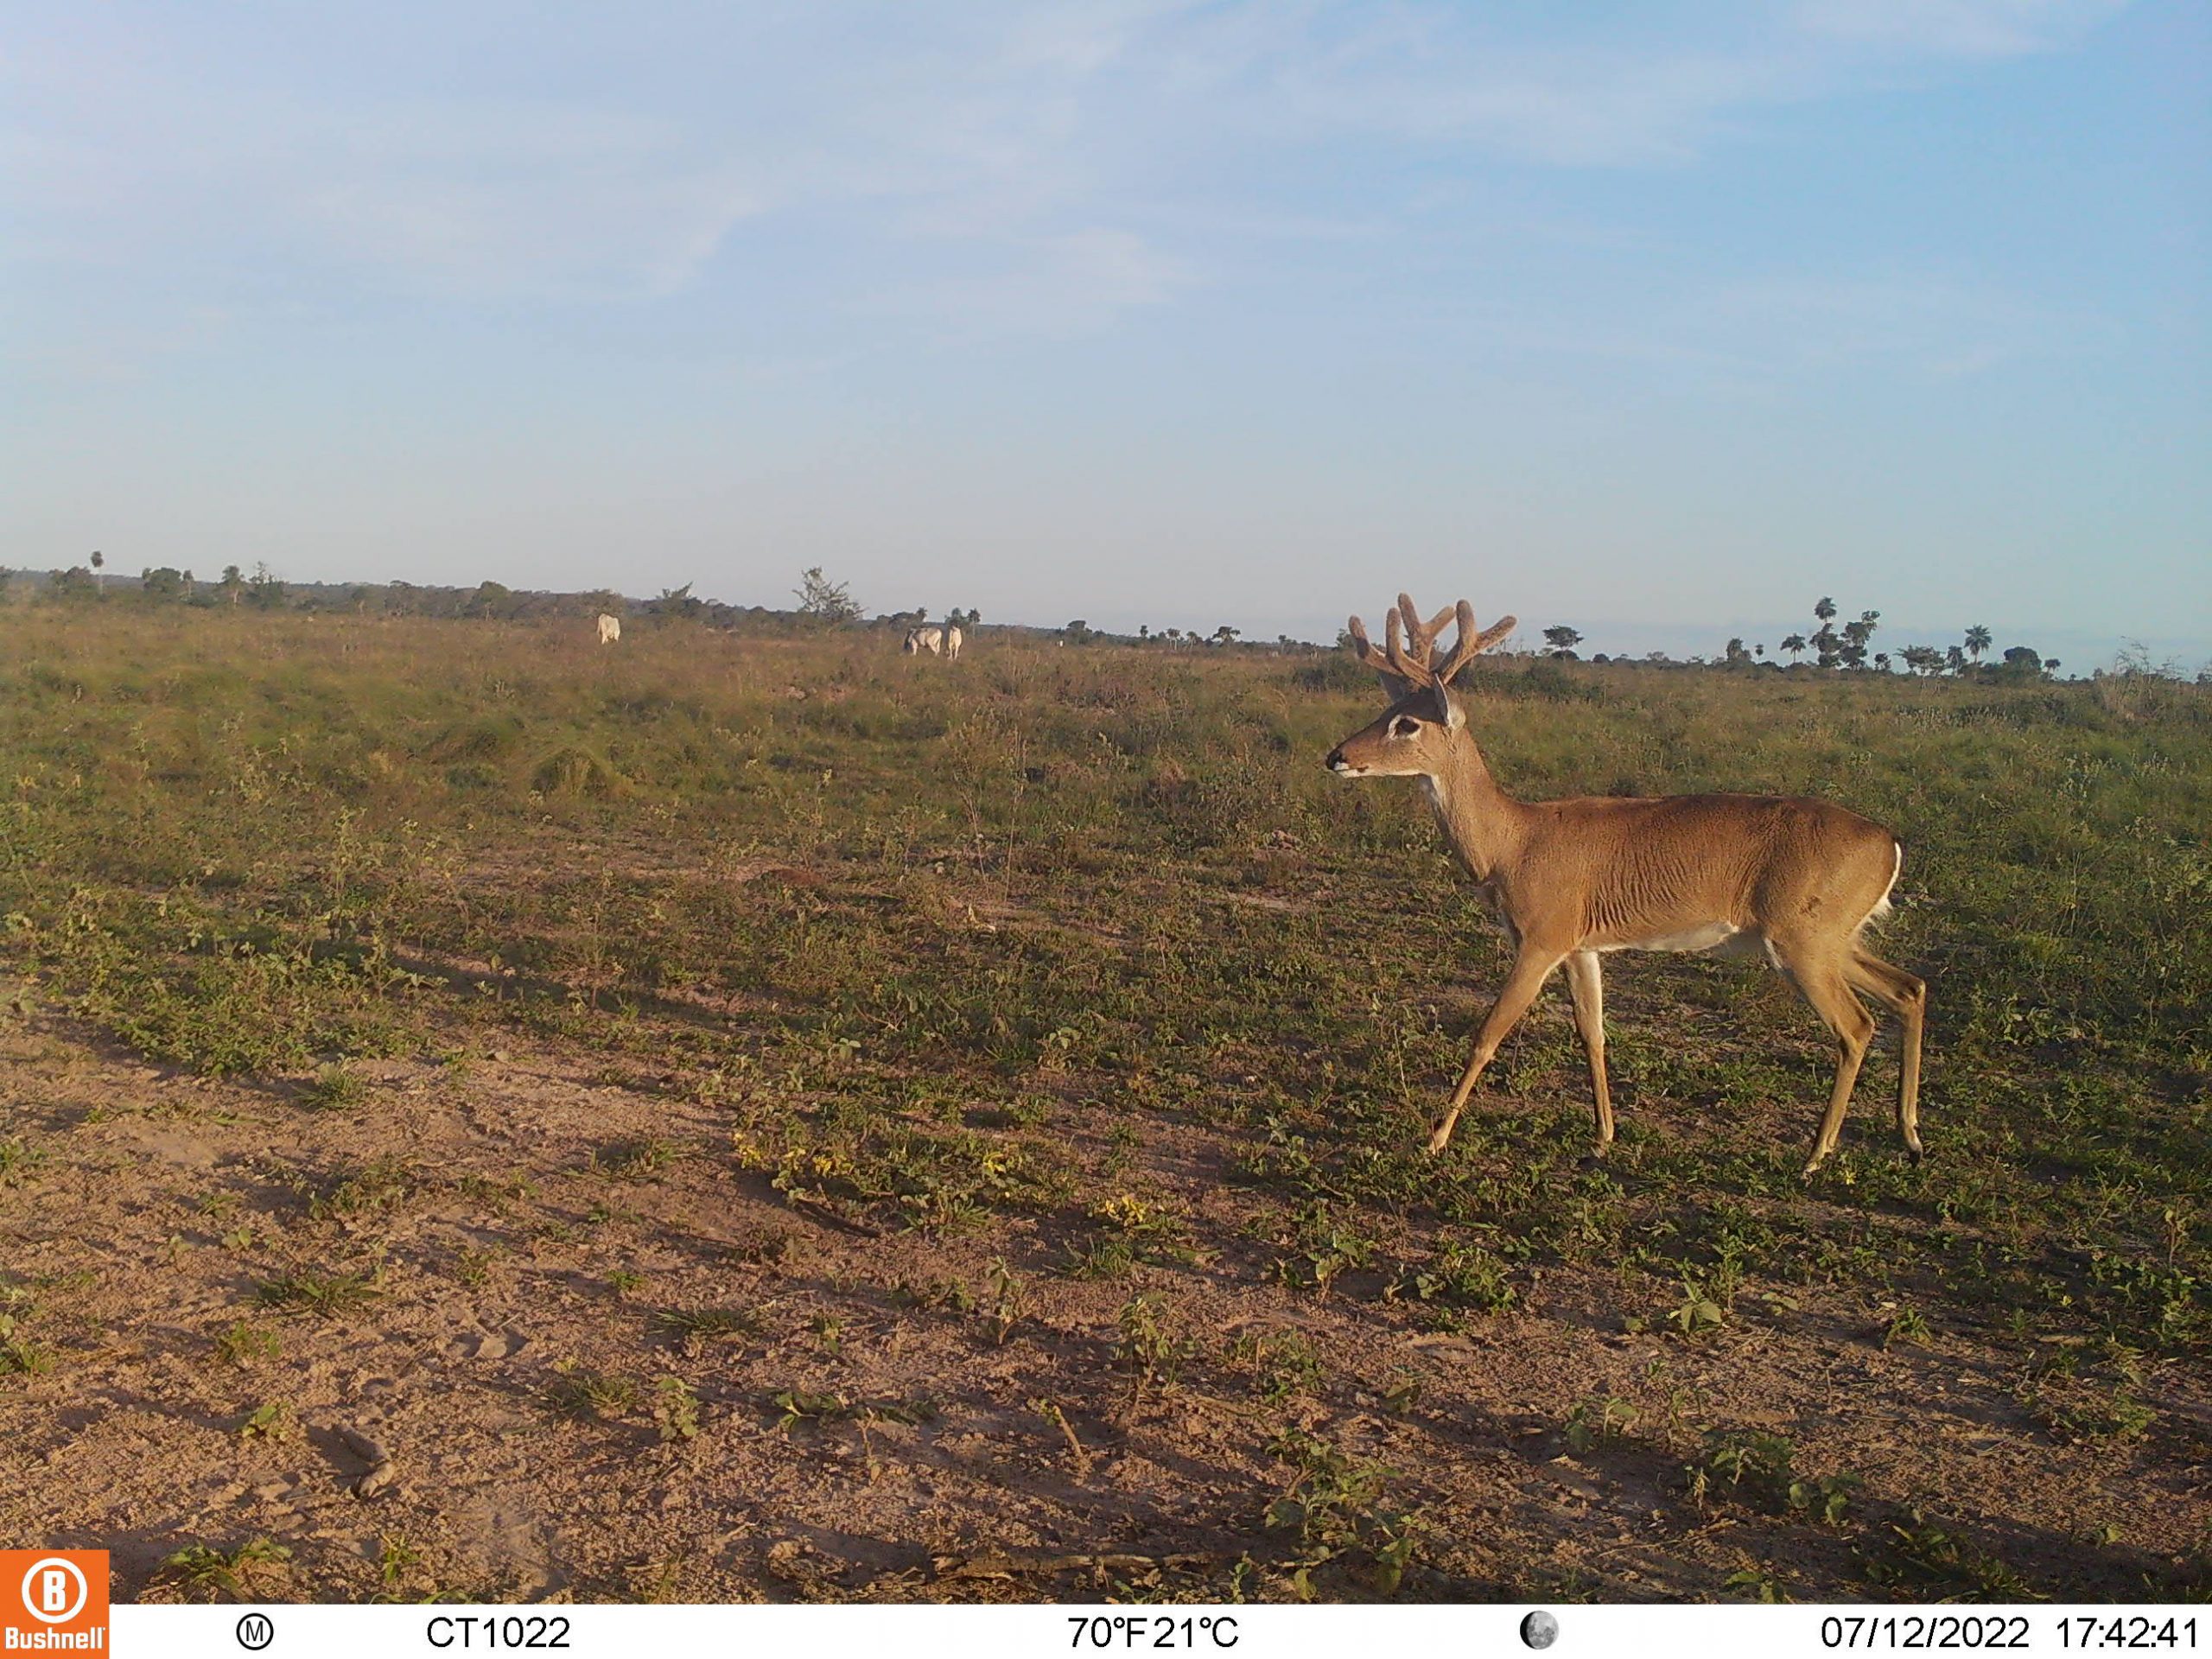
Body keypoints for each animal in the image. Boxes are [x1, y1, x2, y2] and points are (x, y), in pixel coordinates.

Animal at [1318, 593, 1929, 1176]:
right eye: (1386, 708)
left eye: (1408, 724)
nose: (1336, 756)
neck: (1513, 842)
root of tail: (1889, 844)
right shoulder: (1581, 947)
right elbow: (1593, 1032)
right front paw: (1604, 1136)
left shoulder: (1542, 938)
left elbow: (1487, 1033)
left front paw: (1434, 1139)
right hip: (1832, 938)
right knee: (1909, 989)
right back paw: (1910, 1137)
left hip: (1805, 941)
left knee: (1856, 1026)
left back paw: (1815, 1155)